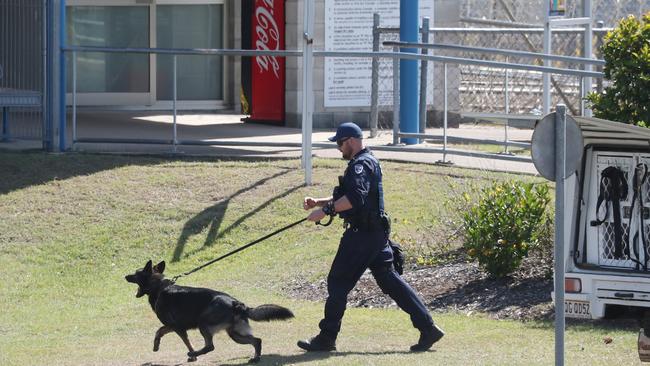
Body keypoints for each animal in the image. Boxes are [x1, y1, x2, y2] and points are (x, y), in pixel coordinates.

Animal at [123, 260, 294, 364]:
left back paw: (194, 354)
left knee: (210, 346)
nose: (125, 276)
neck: (158, 287)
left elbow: (166, 334)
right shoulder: (176, 327)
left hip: (203, 324)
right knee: (257, 340)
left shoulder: (177, 327)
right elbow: (161, 332)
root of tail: (236, 303)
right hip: (235, 334)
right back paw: (256, 358)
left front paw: (190, 355)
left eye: (136, 273)